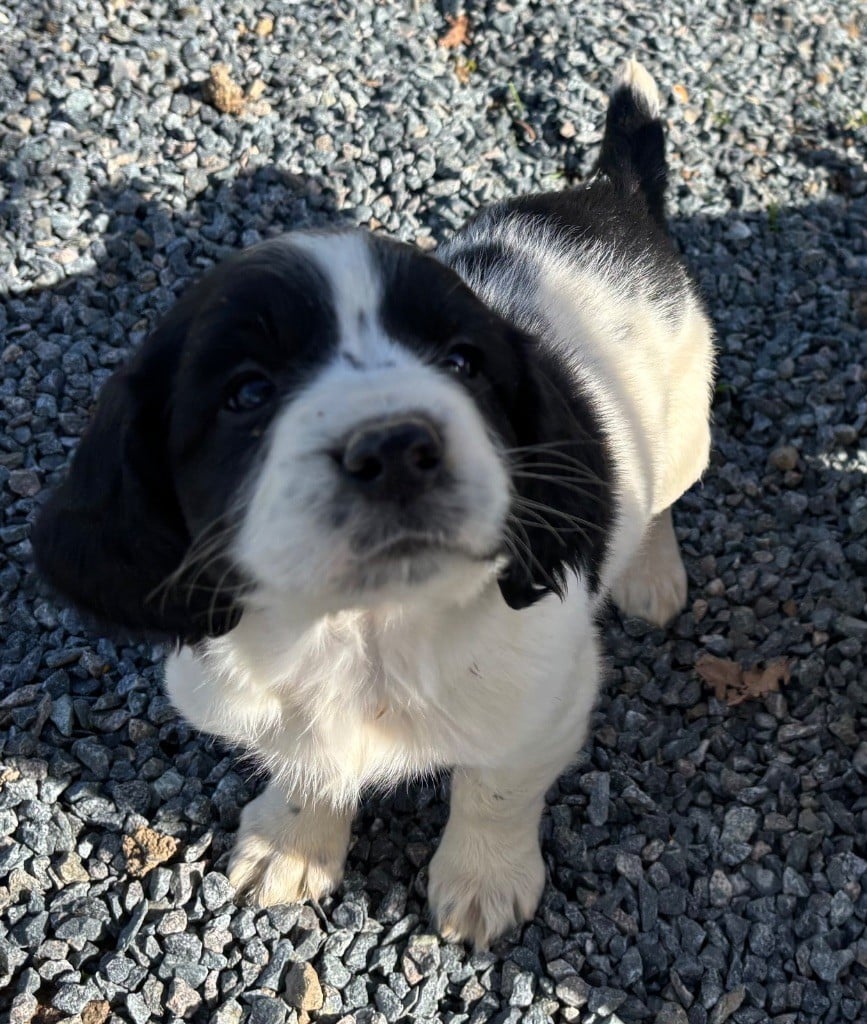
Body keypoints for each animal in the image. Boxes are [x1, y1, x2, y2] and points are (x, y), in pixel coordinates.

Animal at [33, 59, 712, 946]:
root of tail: (611, 194)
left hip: (686, 422)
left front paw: (481, 882)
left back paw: (650, 577)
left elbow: (494, 787)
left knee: (662, 496)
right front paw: (291, 846)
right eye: (247, 392)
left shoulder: (544, 705)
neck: (363, 629)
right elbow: (302, 763)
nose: (395, 449)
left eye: (462, 362)